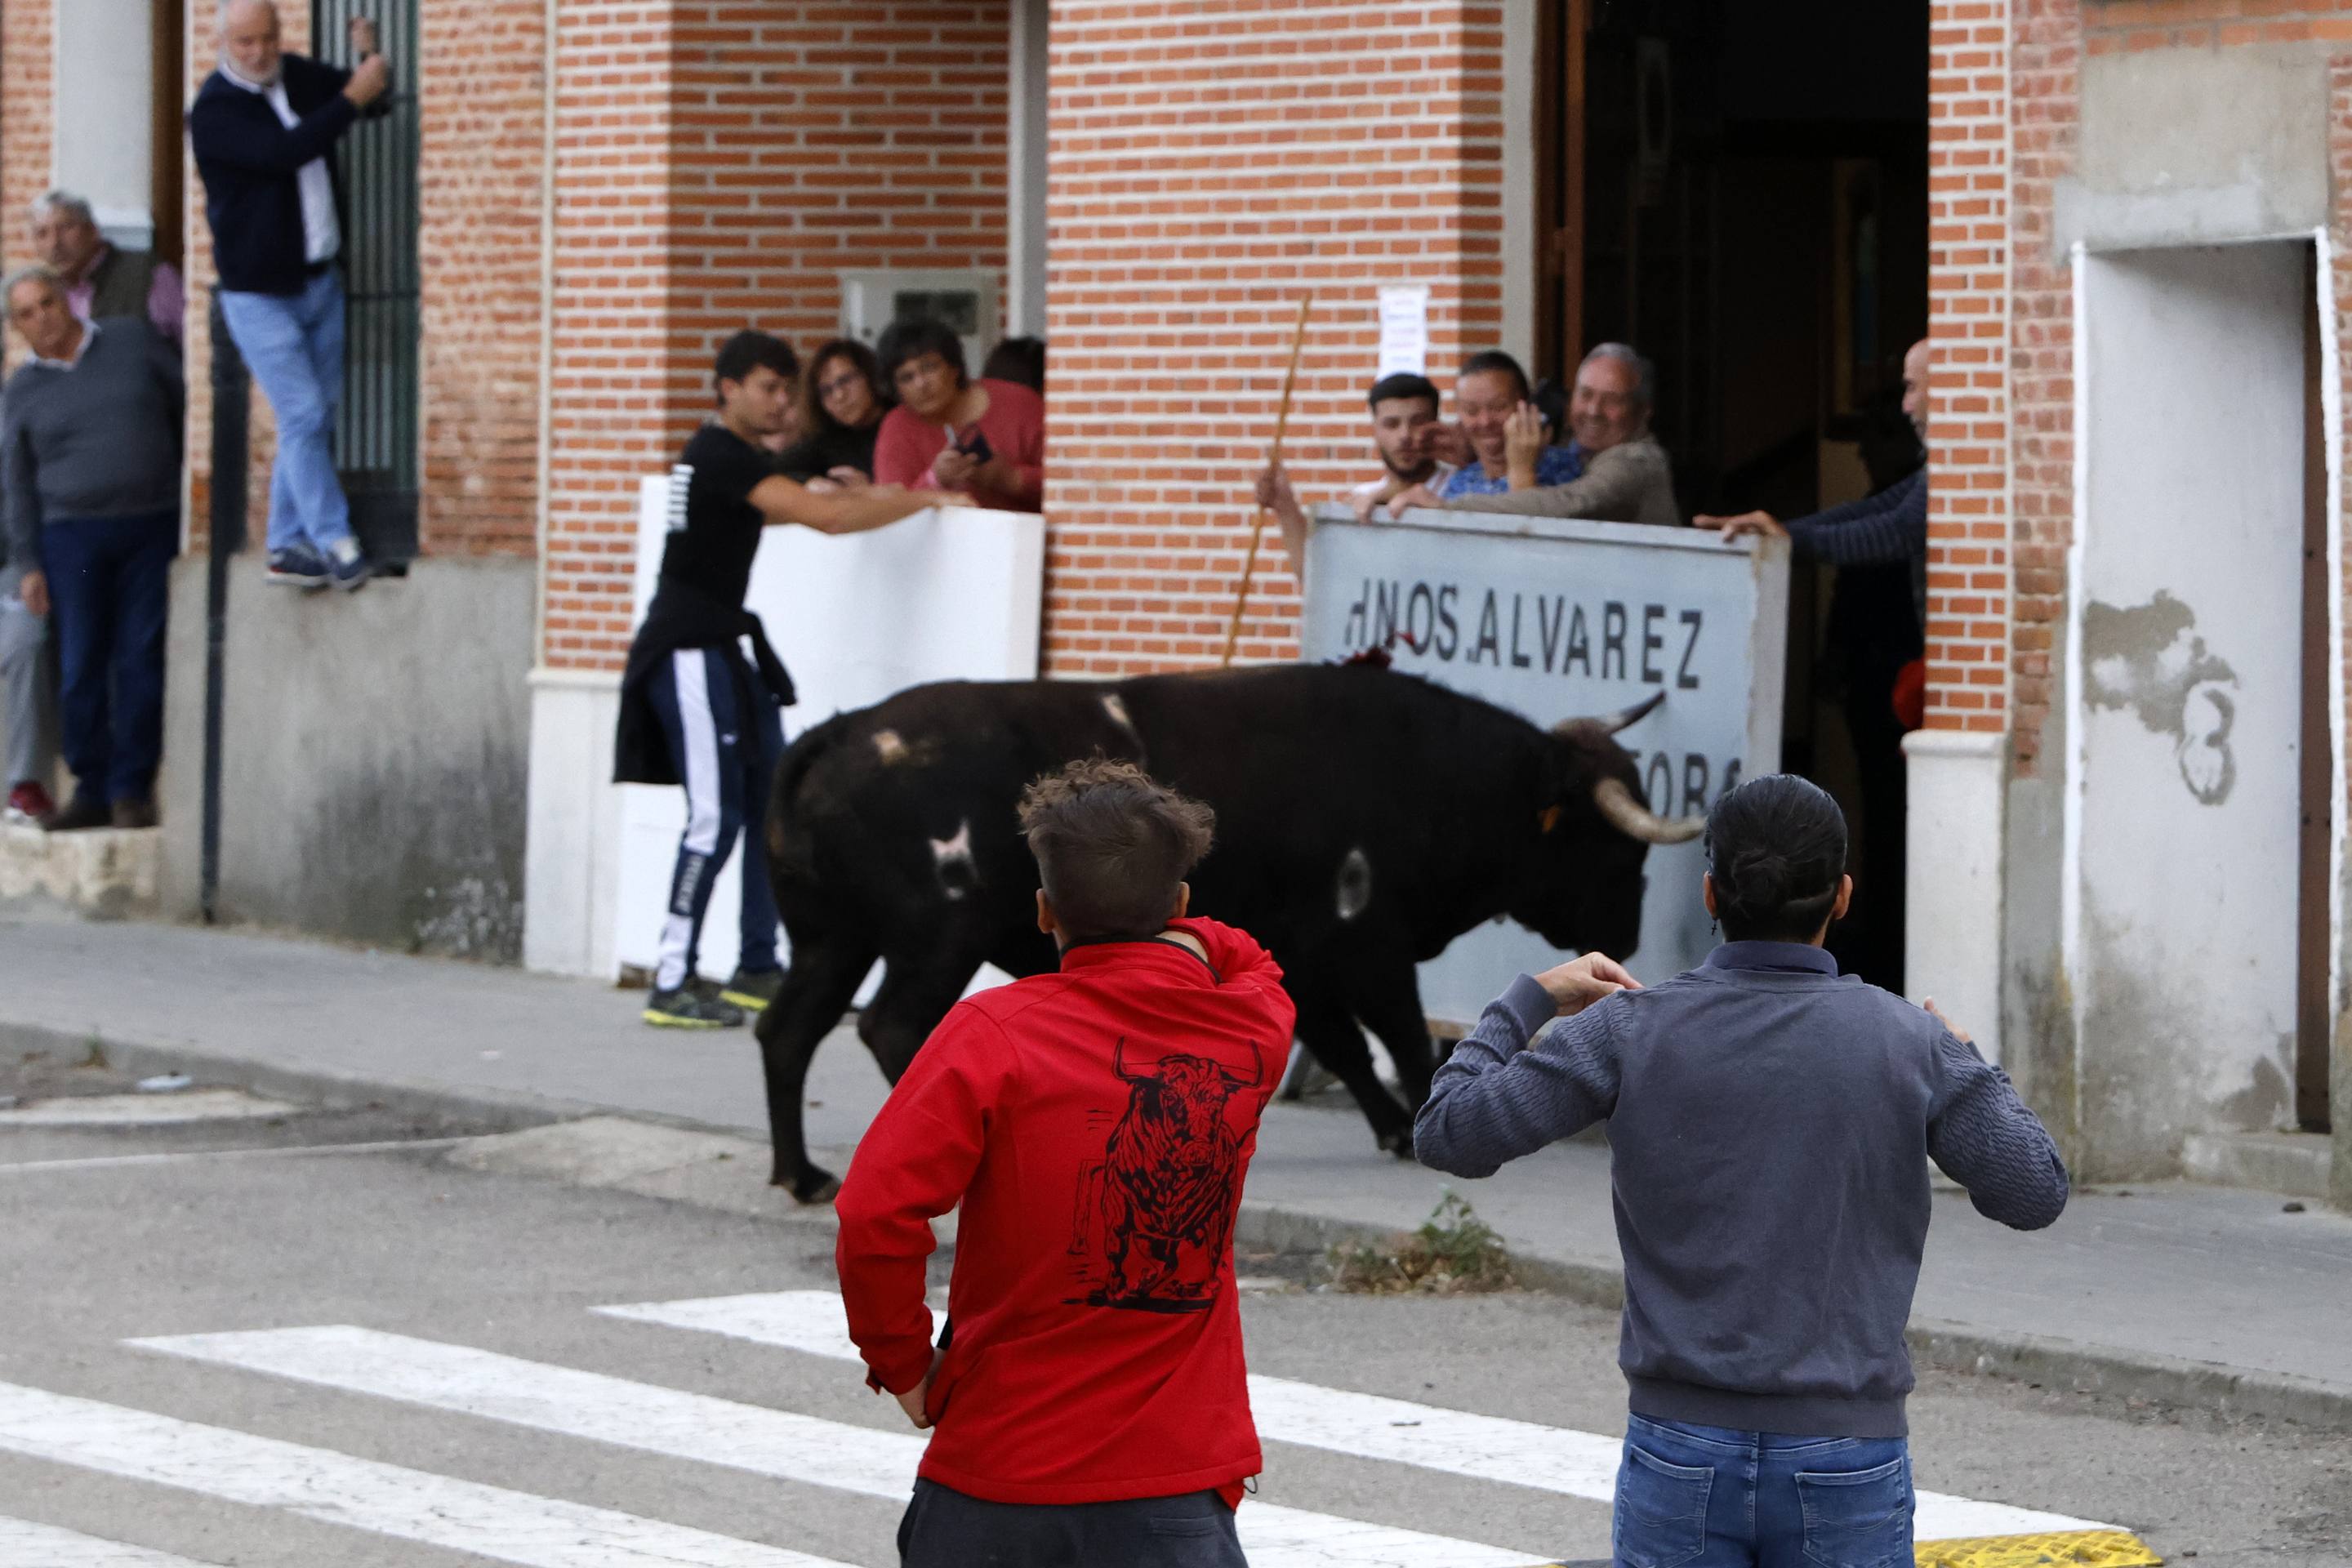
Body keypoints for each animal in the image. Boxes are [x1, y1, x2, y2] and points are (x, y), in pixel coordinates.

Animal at [752, 662, 1693, 1203]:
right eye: (1612, 846)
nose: (1626, 930)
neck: (1431, 775)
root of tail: (842, 730)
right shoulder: (1366, 945)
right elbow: (1400, 1037)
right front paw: (1414, 1126)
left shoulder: (1304, 956)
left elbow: (1345, 1045)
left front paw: (1391, 1126)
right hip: (934, 939)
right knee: (891, 1029)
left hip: (833, 939)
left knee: (788, 1031)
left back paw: (802, 1175)